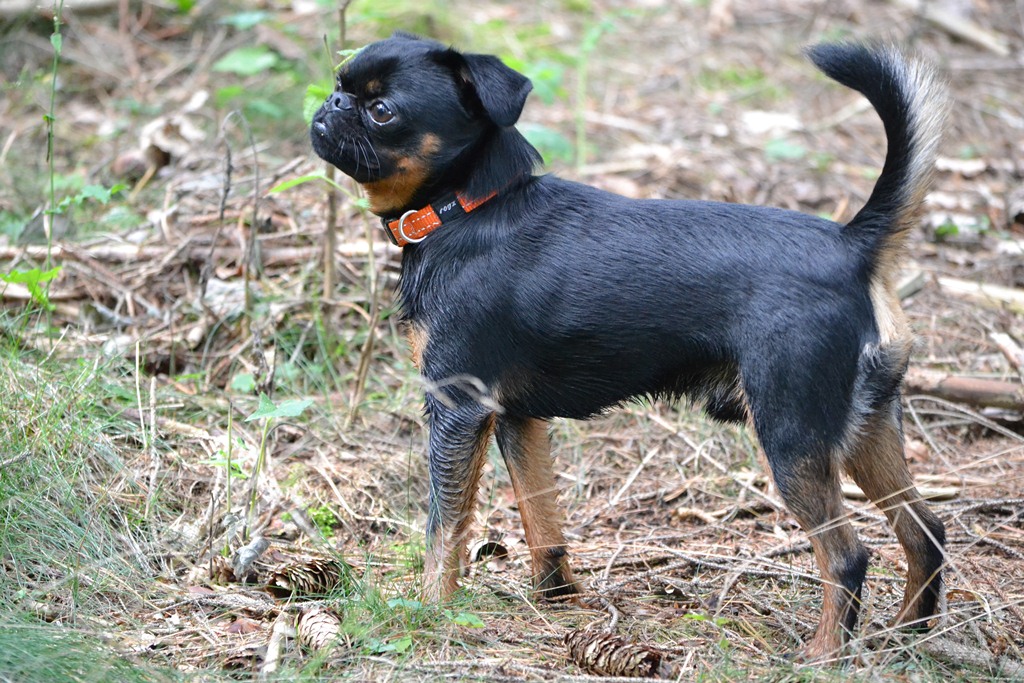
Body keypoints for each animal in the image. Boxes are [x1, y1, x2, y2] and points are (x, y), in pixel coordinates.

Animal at [307, 33, 946, 663]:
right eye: (341, 84)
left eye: (381, 110)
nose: (332, 103)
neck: (465, 209)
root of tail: (854, 246)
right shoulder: (516, 418)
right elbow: (541, 515)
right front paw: (556, 598)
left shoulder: (458, 408)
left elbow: (445, 527)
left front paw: (428, 611)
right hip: (868, 428)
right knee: (925, 530)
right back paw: (907, 636)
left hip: (792, 434)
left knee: (846, 555)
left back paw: (823, 656)